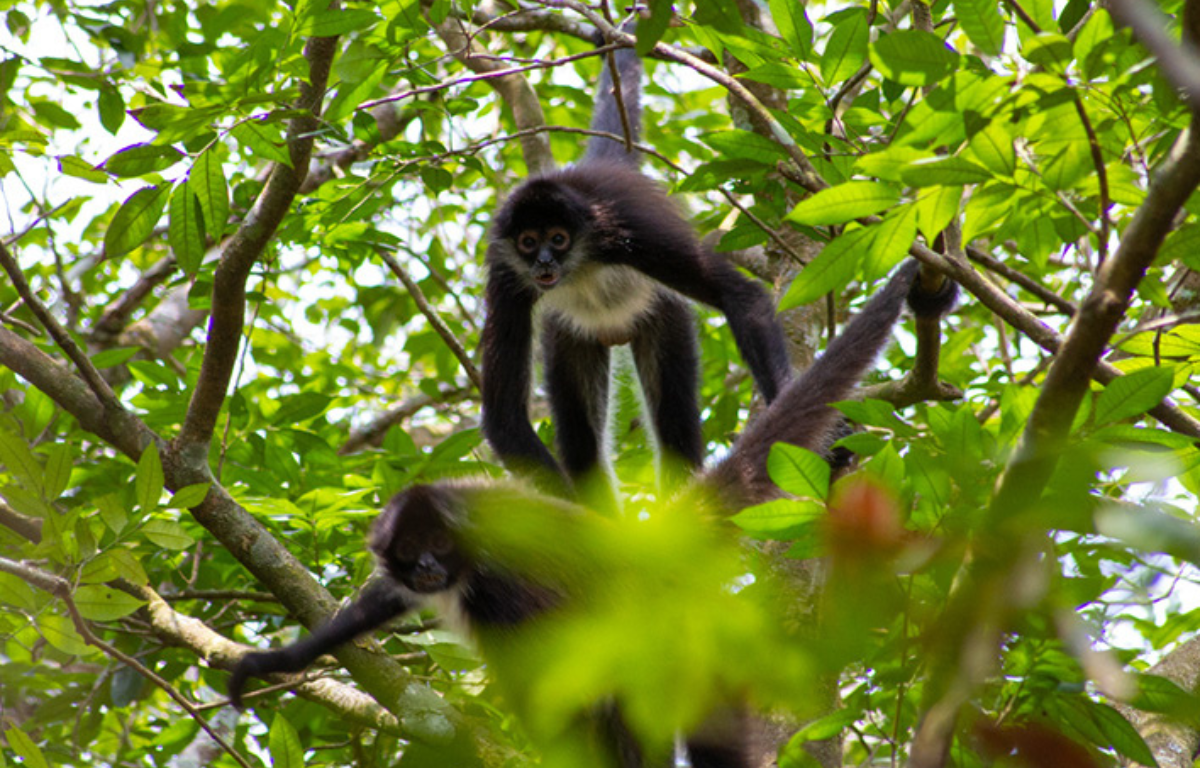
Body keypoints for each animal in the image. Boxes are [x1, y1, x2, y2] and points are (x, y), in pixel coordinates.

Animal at [225, 259, 955, 768]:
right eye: (411, 554)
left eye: (438, 545)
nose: (429, 567)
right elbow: (379, 603)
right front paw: (279, 659)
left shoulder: (499, 580)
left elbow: (556, 677)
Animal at [477, 34, 796, 504]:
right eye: (528, 242)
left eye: (558, 239)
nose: (545, 262)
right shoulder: (505, 268)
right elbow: (504, 415)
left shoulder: (625, 231)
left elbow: (741, 296)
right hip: (573, 336)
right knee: (582, 441)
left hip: (661, 314)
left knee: (673, 427)